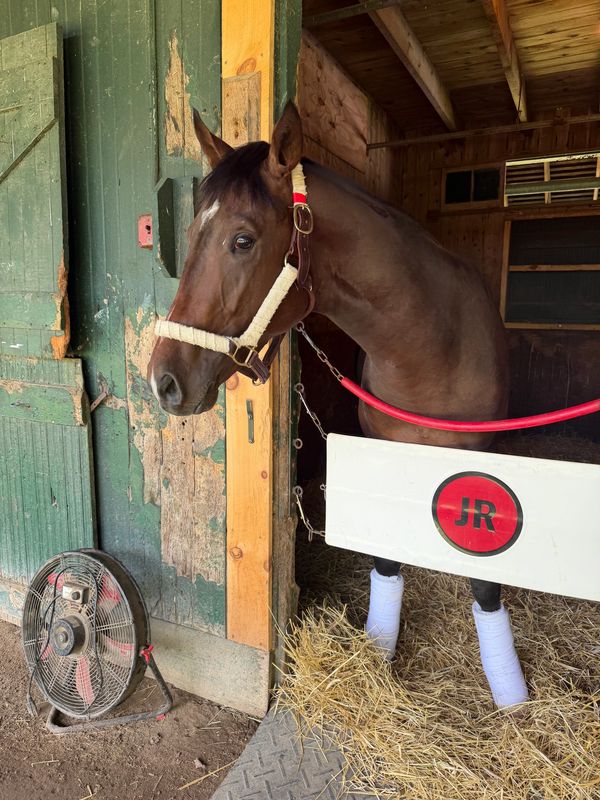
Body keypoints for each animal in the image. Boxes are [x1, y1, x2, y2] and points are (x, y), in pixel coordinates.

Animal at [148, 102, 529, 709]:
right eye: (189, 234)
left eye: (242, 240)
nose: (163, 381)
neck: (433, 351)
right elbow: (386, 558)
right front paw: (380, 647)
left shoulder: (482, 464)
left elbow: (485, 580)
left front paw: (508, 688)